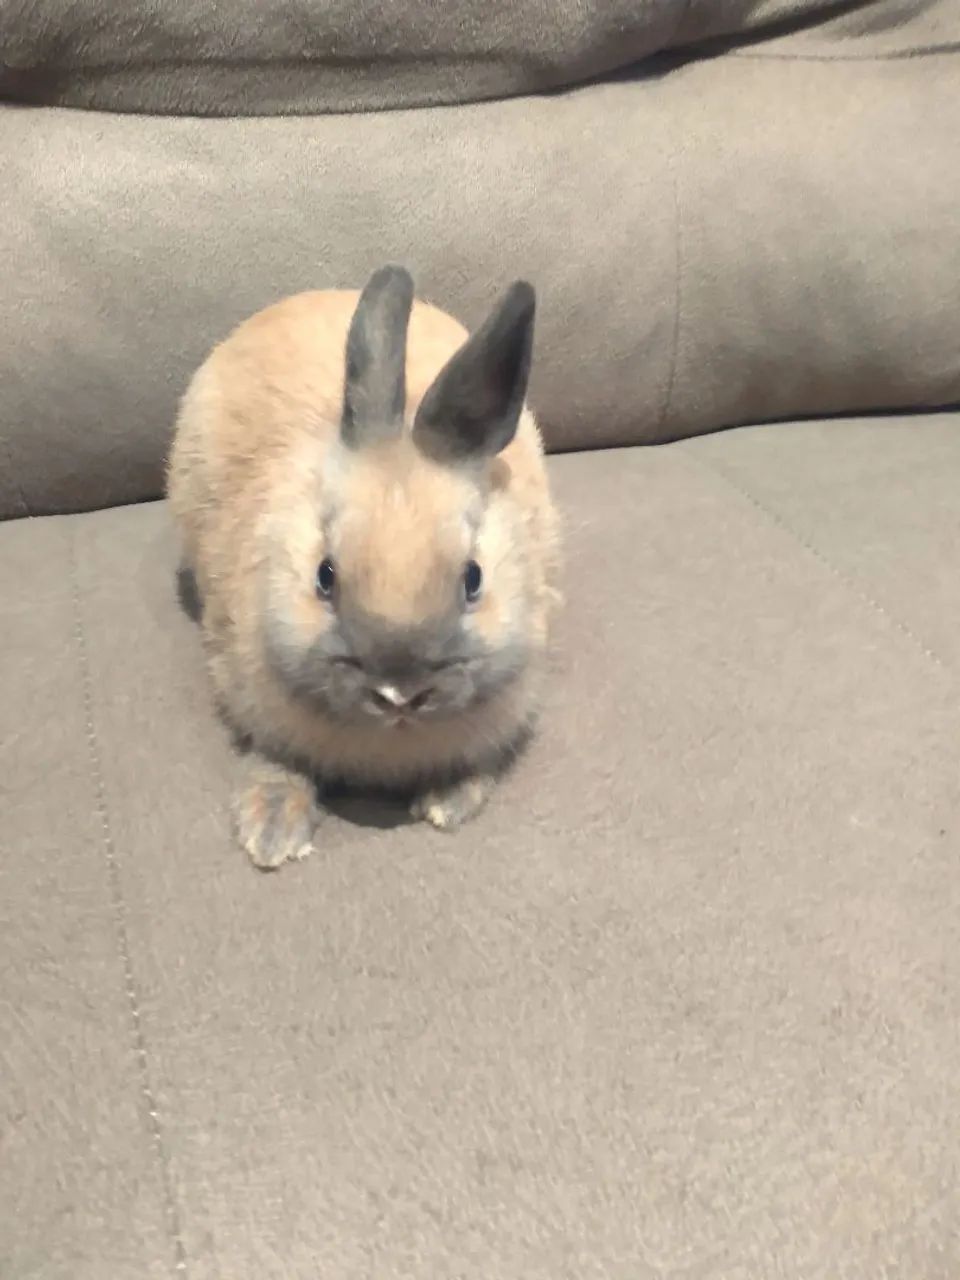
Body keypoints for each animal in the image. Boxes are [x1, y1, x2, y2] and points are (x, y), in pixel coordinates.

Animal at [167, 265, 559, 869]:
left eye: (473, 578)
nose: (399, 694)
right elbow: (277, 759)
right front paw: (272, 831)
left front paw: (448, 802)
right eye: (324, 576)